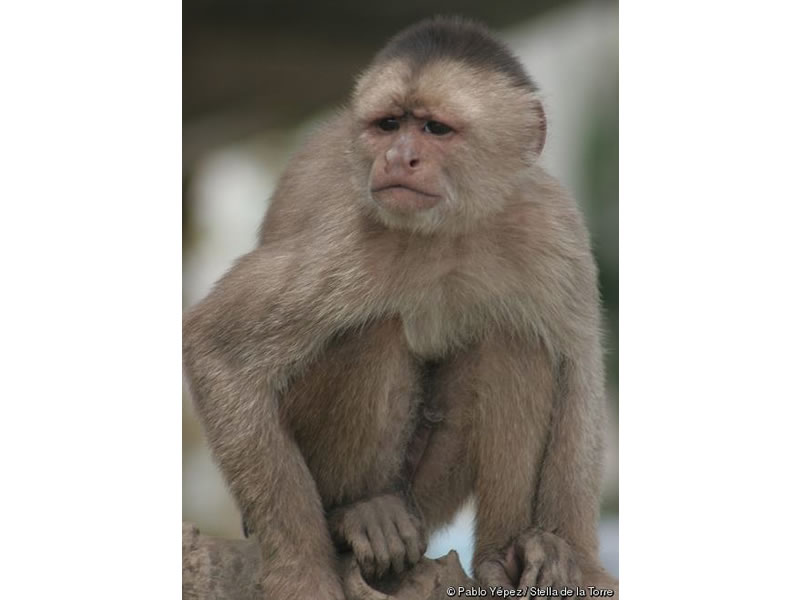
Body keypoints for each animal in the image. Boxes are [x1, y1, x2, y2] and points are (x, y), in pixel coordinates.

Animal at [183, 16, 617, 599]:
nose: (397, 158)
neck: (452, 231)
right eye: (388, 125)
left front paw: (577, 559)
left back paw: (502, 557)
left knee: (517, 340)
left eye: (434, 129)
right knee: (374, 331)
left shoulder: (552, 223)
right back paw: (356, 514)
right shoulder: (354, 236)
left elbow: (580, 373)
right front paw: (301, 572)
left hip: (429, 497)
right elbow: (216, 348)